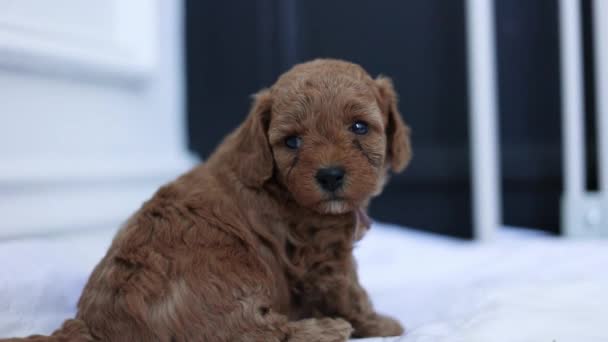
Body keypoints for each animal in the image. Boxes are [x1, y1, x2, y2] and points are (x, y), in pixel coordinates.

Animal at [7, 60, 410, 340]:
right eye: (292, 141)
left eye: (359, 127)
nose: (329, 176)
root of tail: (92, 328)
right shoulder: (324, 255)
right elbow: (352, 293)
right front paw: (381, 324)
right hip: (229, 278)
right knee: (253, 334)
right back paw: (325, 329)